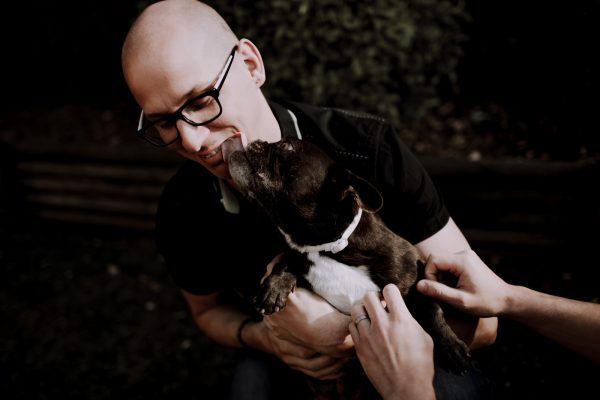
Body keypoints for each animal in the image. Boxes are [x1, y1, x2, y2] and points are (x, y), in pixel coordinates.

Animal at [227, 136, 471, 397]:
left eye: (287, 147)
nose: (259, 140)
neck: (328, 248)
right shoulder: (299, 253)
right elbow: (288, 258)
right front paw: (275, 286)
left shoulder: (413, 273)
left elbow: (431, 307)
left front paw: (451, 347)